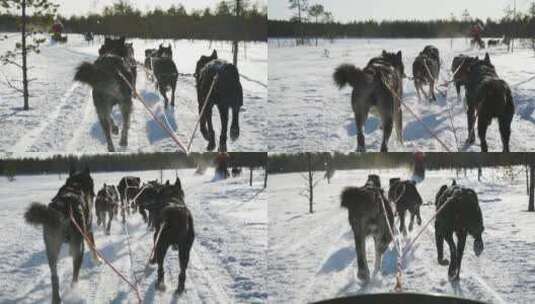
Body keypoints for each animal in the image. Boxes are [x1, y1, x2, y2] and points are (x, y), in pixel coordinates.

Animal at [23, 167, 95, 302]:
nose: (94, 194)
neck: (75, 184)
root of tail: (63, 209)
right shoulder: (88, 230)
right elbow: (93, 247)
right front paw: (98, 261)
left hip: (51, 250)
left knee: (54, 277)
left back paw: (56, 298)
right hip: (79, 249)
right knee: (75, 276)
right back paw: (73, 289)